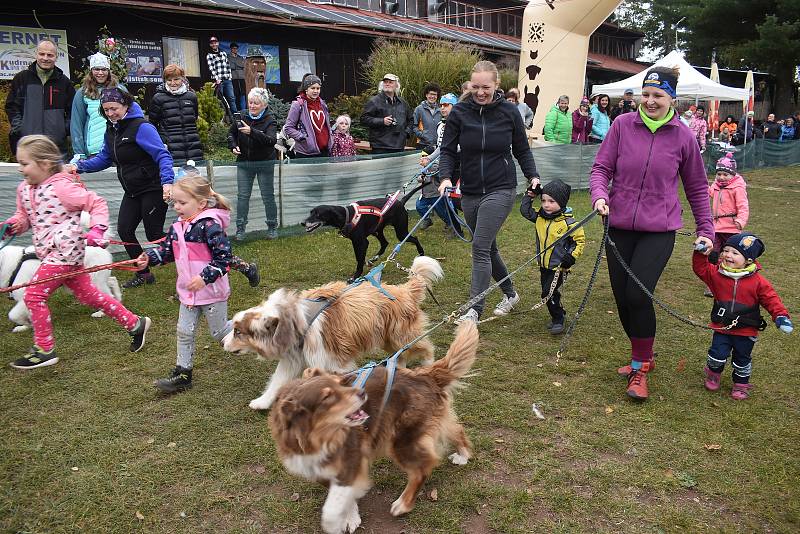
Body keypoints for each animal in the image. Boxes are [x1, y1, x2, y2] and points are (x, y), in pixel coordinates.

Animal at [222, 255, 440, 410]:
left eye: (237, 332)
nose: (222, 342)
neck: (292, 320)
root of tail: (405, 290)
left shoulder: (334, 360)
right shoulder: (293, 358)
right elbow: (277, 381)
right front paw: (263, 401)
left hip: (402, 334)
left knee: (427, 347)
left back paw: (428, 366)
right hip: (389, 337)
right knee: (400, 355)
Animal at [268, 322, 482, 534]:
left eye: (341, 384)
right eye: (327, 397)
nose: (362, 393)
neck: (319, 437)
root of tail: (424, 375)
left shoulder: (351, 461)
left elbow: (333, 507)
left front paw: (338, 521)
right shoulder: (319, 468)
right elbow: (342, 495)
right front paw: (350, 516)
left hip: (402, 439)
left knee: (422, 469)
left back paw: (403, 504)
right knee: (456, 430)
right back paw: (463, 455)